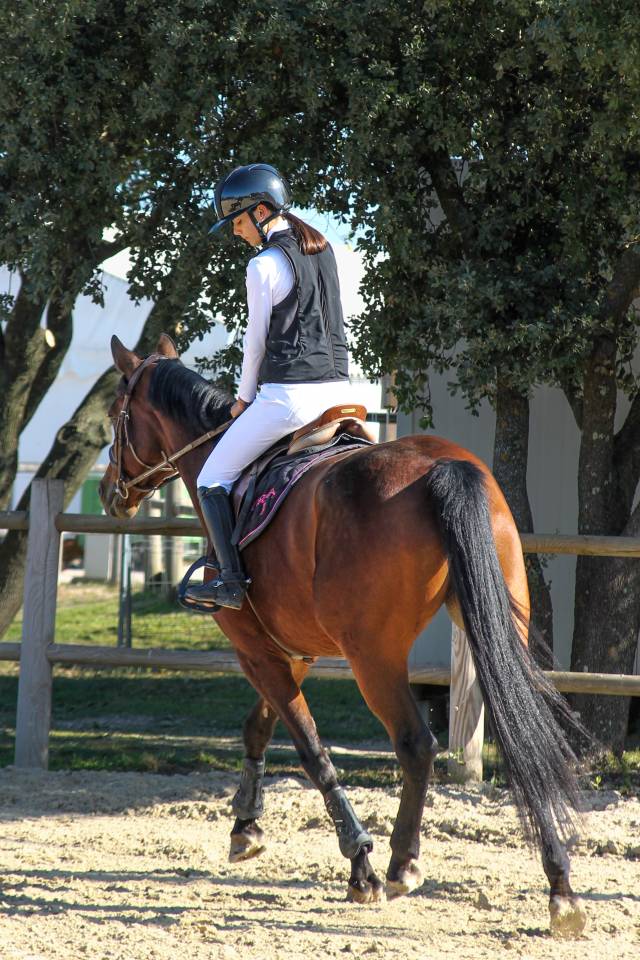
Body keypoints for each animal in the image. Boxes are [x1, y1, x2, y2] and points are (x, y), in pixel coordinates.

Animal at [98, 333, 586, 937]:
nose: (108, 492)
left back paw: (401, 866)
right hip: (494, 633)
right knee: (524, 735)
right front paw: (245, 828)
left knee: (416, 744)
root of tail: (443, 467)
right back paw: (561, 889)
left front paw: (360, 868)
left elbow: (311, 750)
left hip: (373, 658)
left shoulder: (255, 649)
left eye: (114, 415)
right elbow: (259, 726)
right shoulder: (291, 650)